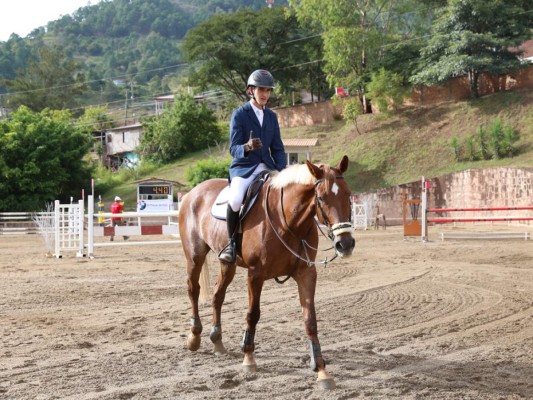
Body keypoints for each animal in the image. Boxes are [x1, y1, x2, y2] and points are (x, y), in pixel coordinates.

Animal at [177, 155, 356, 390]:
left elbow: (310, 319)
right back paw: (194, 337)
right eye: (322, 198)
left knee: (217, 294)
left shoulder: (306, 274)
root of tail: (192, 193)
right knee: (193, 290)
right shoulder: (255, 274)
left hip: (227, 263)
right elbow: (253, 314)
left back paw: (217, 340)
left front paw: (322, 371)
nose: (345, 244)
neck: (288, 221)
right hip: (194, 257)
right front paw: (248, 358)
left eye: (348, 194)